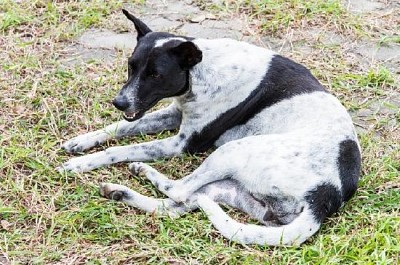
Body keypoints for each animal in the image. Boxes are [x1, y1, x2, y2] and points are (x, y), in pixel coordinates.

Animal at [59, 9, 362, 245]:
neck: (200, 70)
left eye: (155, 75)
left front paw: (81, 164)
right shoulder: (174, 114)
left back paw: (140, 173)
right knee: (176, 206)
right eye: (131, 67)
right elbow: (118, 128)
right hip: (229, 191)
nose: (119, 102)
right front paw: (81, 141)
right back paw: (121, 191)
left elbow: (121, 149)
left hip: (231, 152)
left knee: (179, 191)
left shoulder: (181, 143)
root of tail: (326, 195)